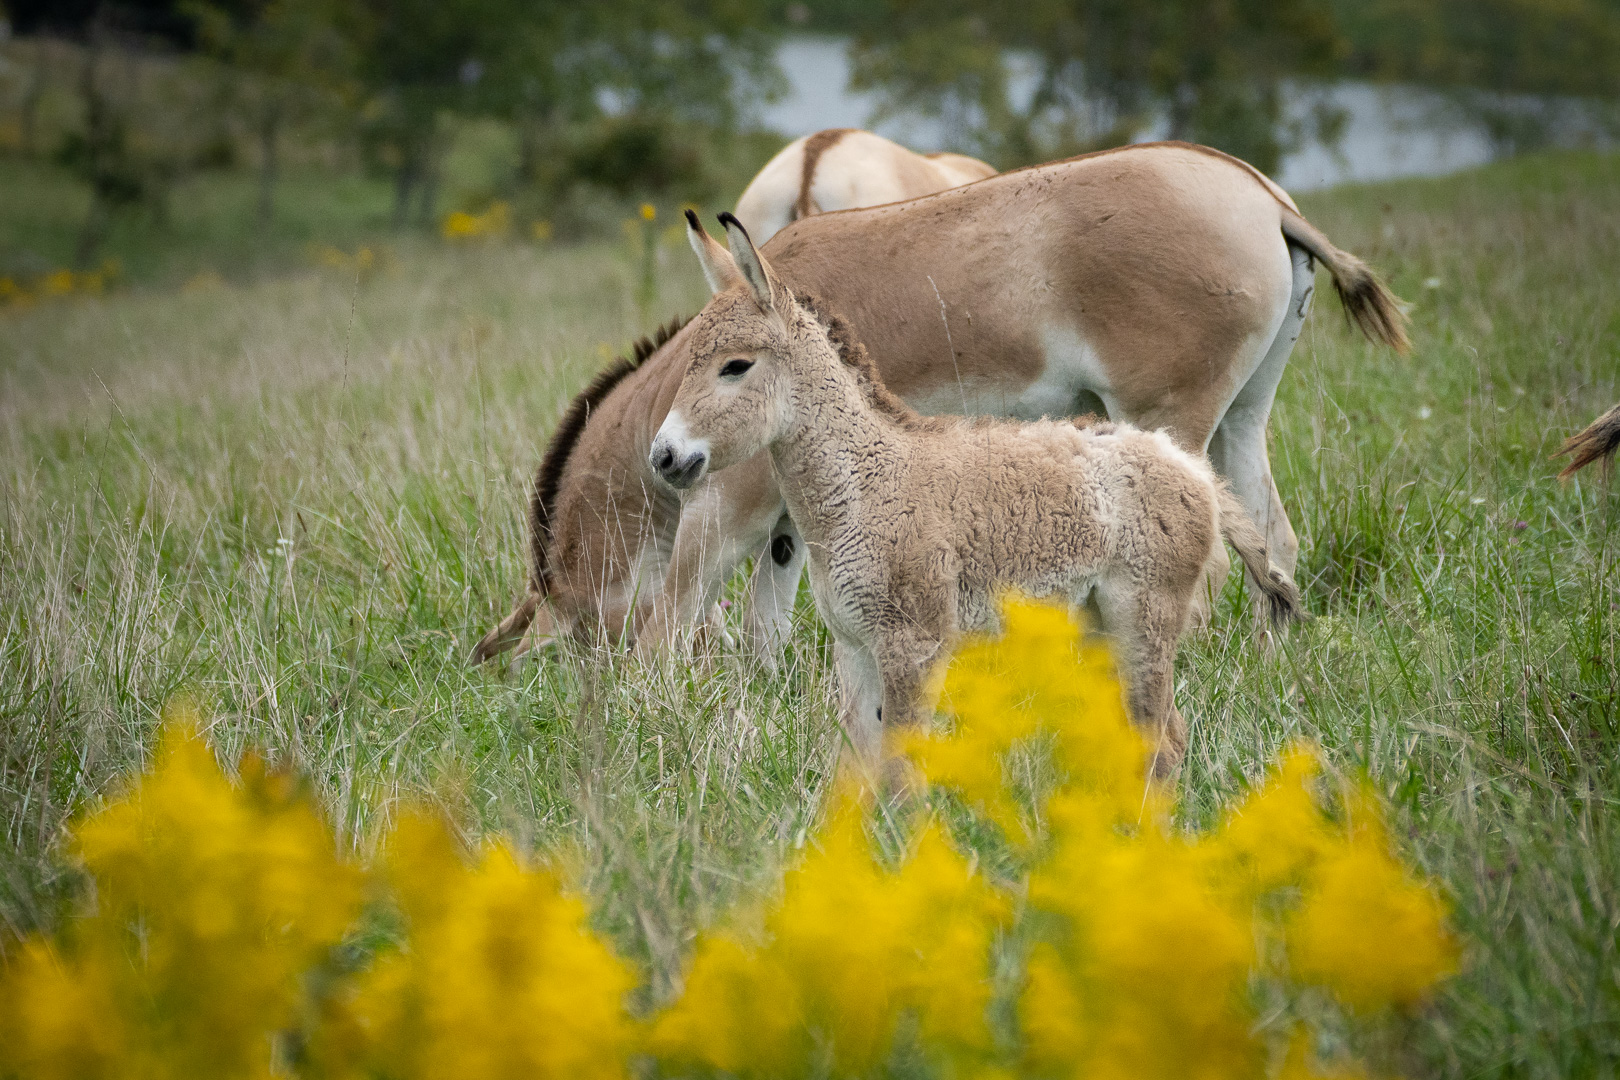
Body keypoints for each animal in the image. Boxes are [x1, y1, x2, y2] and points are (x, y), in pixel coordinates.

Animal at [651, 210, 1296, 773]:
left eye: (735, 366)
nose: (663, 457)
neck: (864, 483)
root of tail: (1191, 467)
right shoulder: (855, 651)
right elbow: (857, 772)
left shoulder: (912, 648)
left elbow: (902, 772)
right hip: (1099, 629)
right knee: (1164, 736)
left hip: (1143, 620)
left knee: (1159, 741)